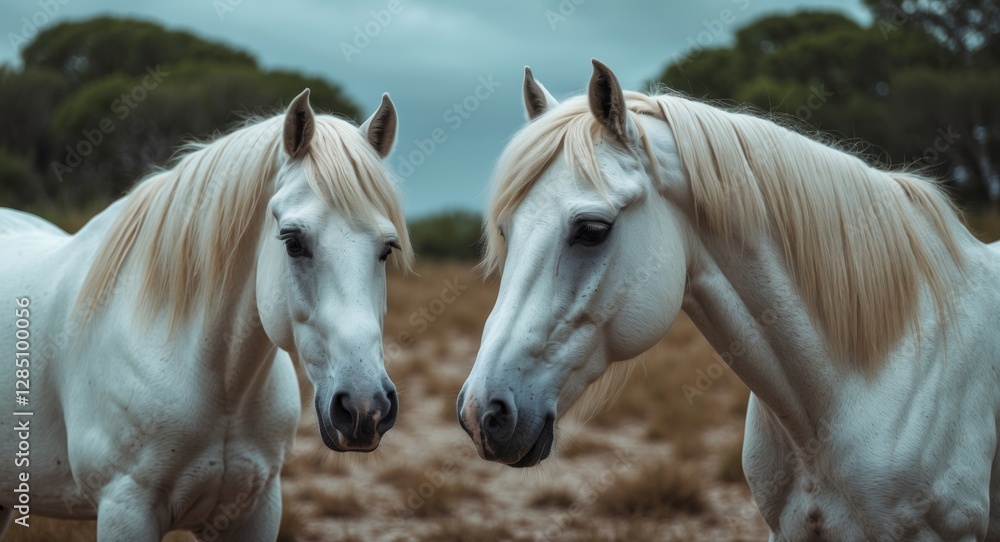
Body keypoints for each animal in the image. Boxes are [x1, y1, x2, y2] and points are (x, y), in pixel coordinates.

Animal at [0, 89, 412, 541]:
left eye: (387, 248)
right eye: (293, 242)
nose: (364, 408)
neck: (221, 388)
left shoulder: (255, 508)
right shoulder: (124, 509)